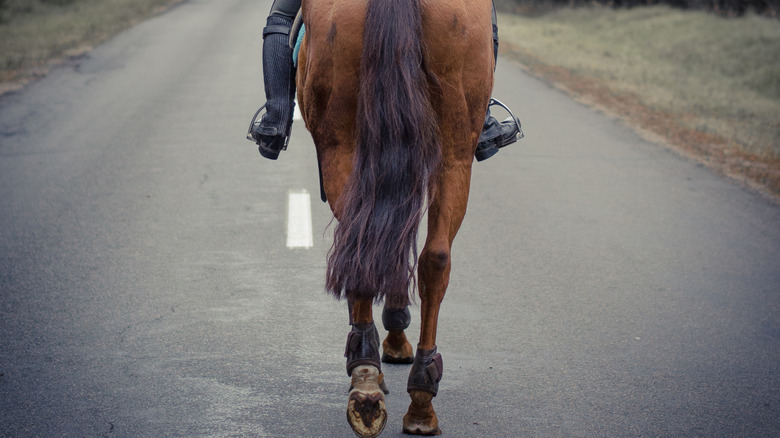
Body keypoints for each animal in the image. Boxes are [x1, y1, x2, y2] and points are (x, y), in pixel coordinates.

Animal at [298, 0, 494, 434]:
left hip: (349, 146)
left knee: (378, 250)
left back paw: (373, 382)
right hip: (452, 154)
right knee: (429, 257)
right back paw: (410, 394)